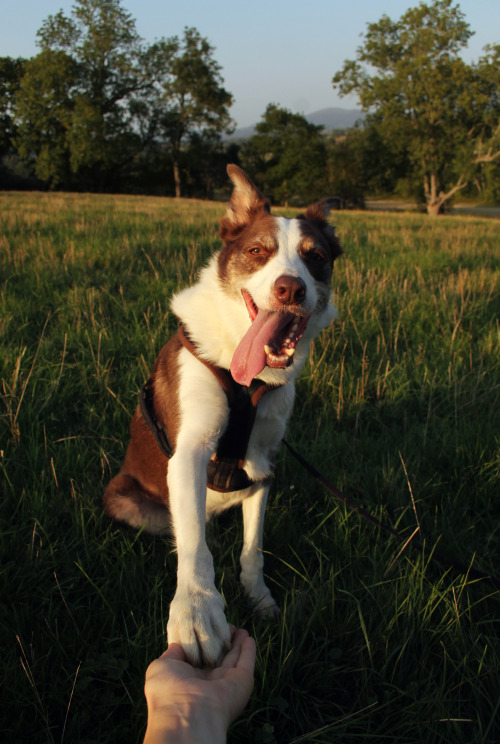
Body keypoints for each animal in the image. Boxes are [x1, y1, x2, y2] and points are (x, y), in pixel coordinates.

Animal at [103, 166, 342, 664]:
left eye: (316, 257)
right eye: (256, 251)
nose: (291, 288)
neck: (246, 376)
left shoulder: (263, 462)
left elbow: (253, 548)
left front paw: (259, 598)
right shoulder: (191, 450)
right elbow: (195, 544)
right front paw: (196, 611)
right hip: (125, 499)